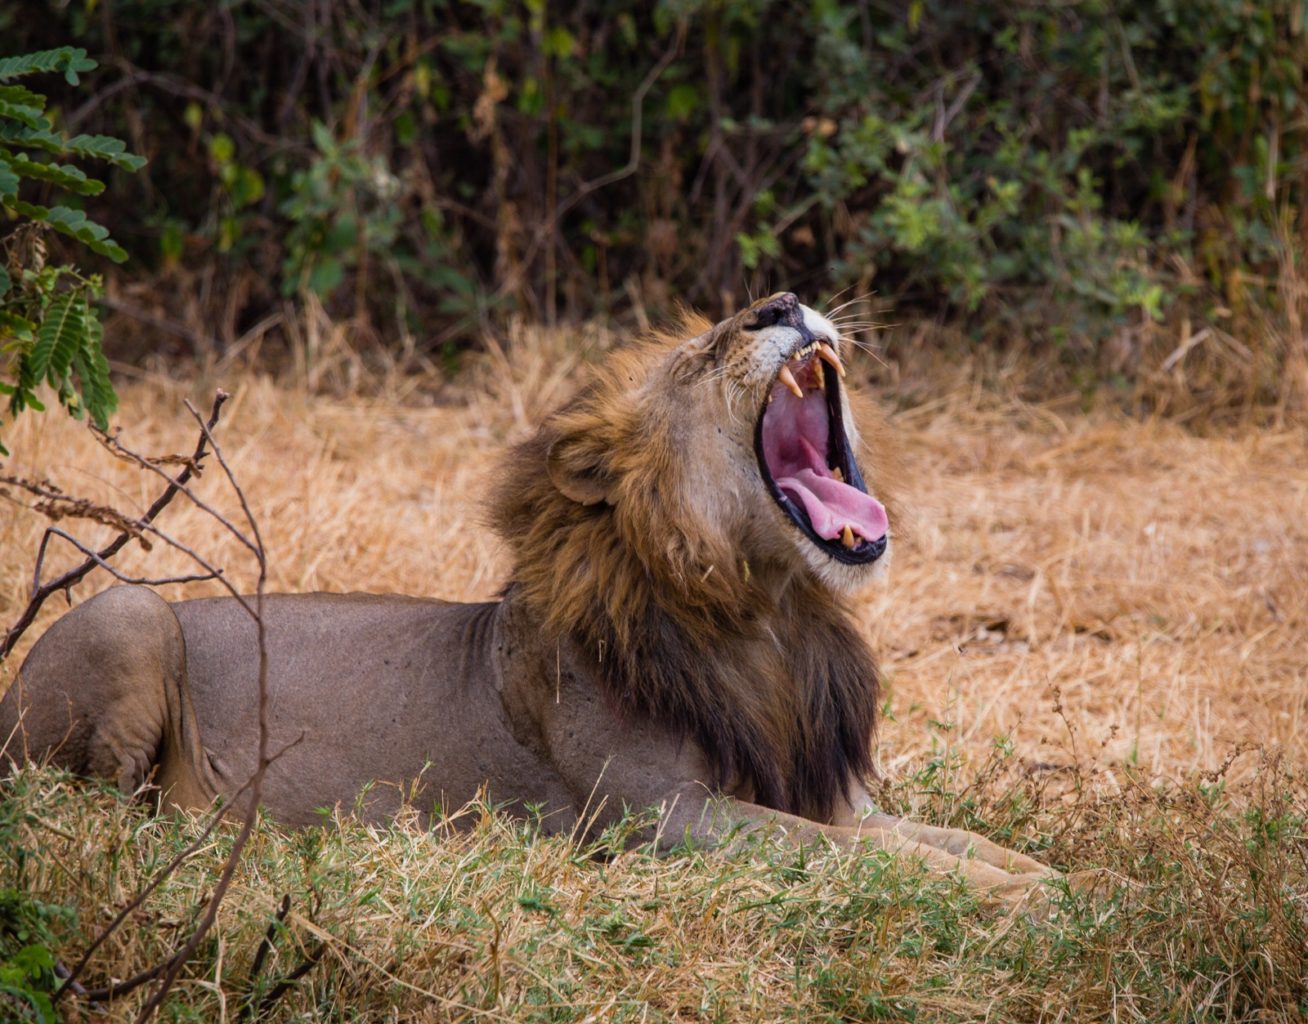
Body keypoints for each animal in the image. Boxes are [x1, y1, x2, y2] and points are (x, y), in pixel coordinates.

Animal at [0, 292, 1051, 900]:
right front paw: (1025, 908)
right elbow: (862, 857)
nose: (783, 301)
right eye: (699, 358)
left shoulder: (824, 794)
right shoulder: (663, 820)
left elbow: (948, 839)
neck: (773, 621)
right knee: (93, 810)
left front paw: (1058, 882)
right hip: (131, 611)